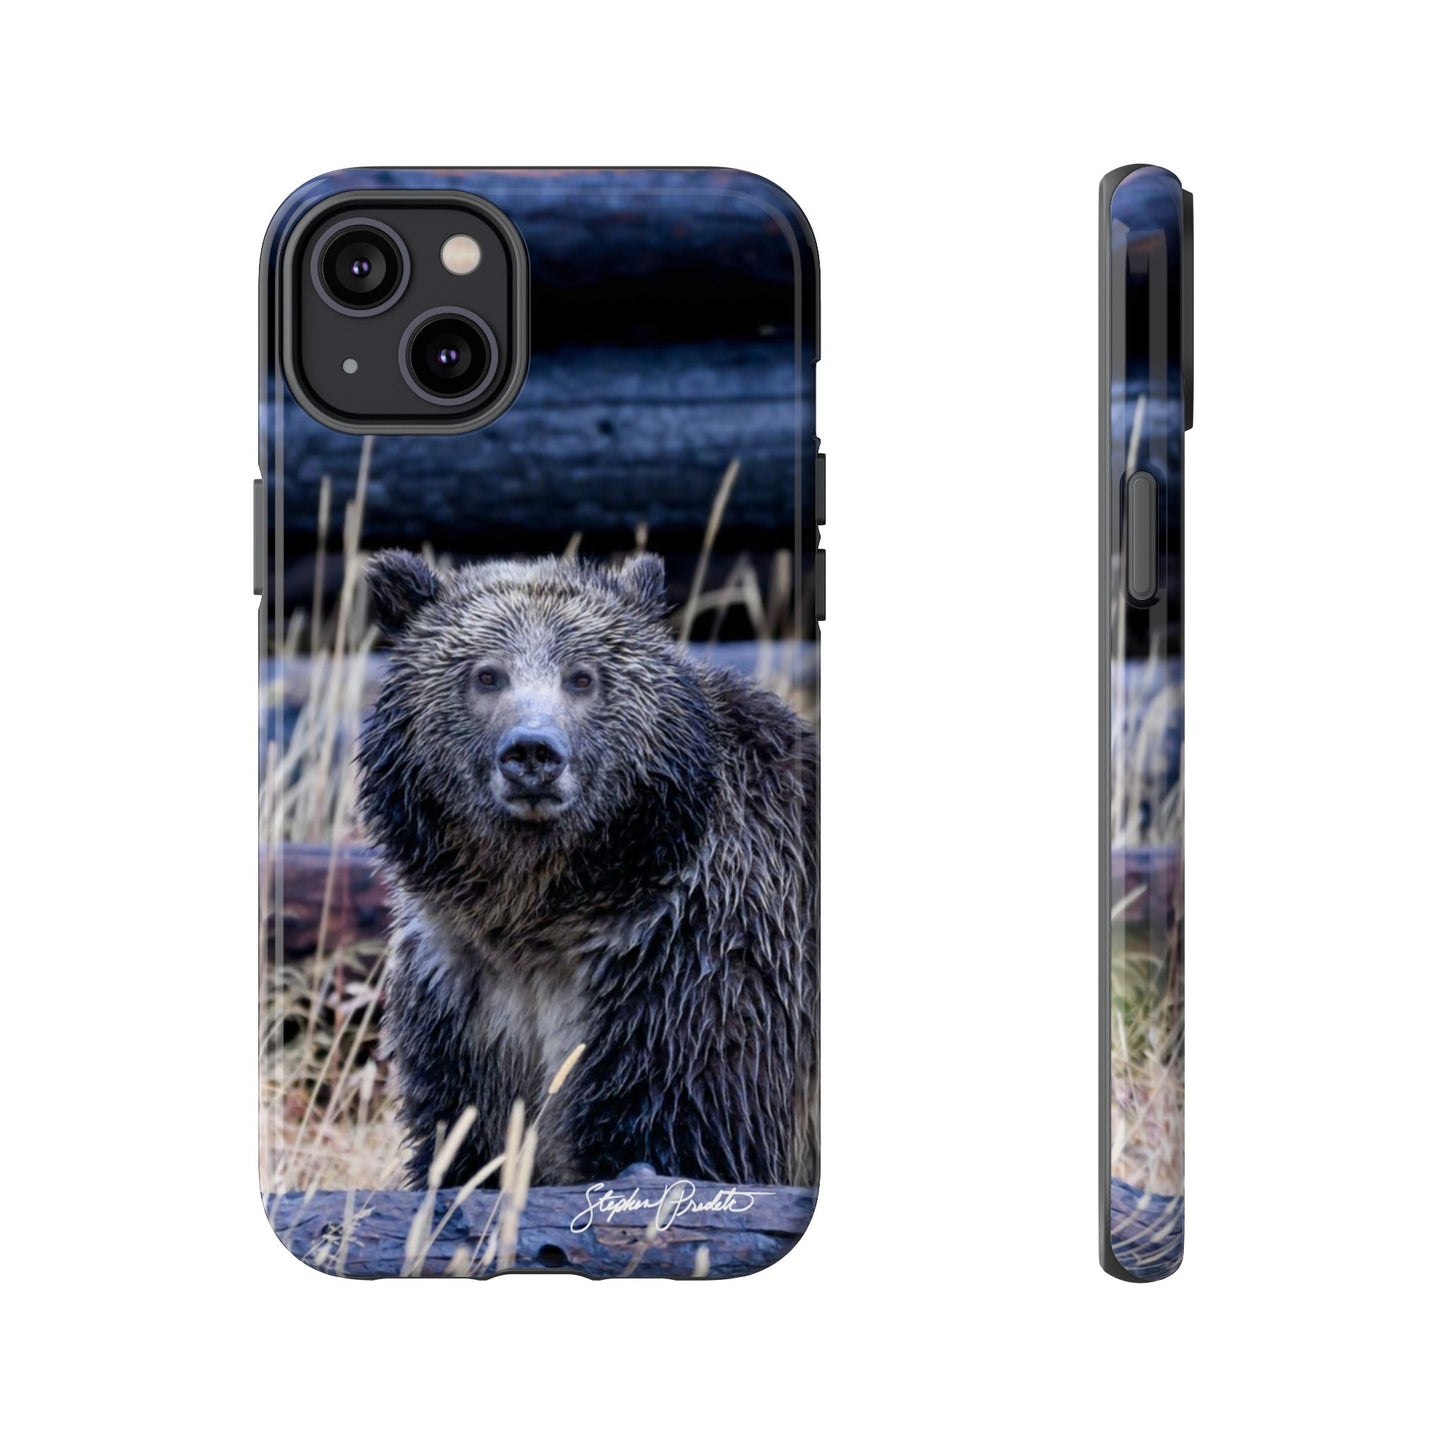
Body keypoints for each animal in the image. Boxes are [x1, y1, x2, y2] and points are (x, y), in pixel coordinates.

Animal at [357, 551, 818, 1192]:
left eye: (582, 677)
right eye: (486, 674)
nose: (533, 752)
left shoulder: (691, 967)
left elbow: (688, 1132)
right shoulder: (462, 990)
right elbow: (461, 1139)